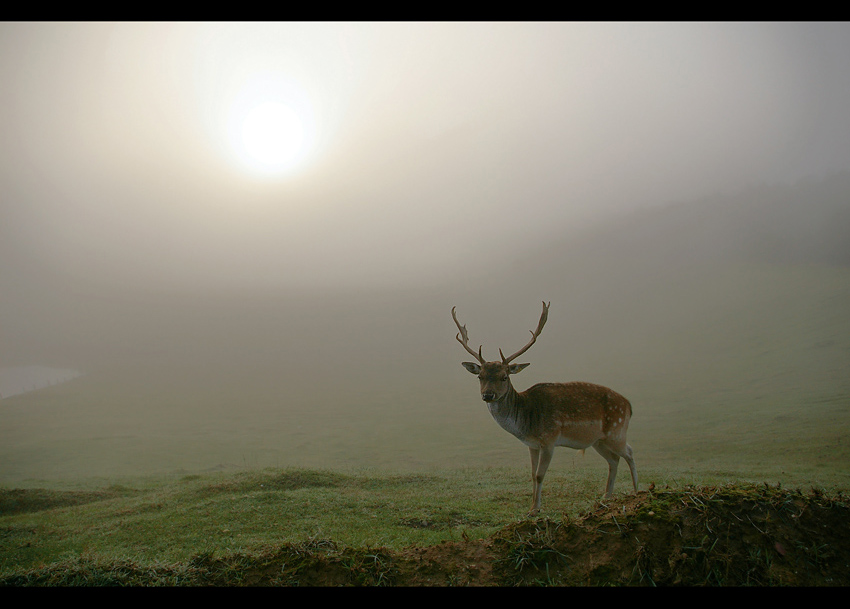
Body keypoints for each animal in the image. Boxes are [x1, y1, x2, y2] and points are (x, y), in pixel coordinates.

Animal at [450, 300, 636, 512]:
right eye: (480, 377)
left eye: (504, 377)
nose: (488, 395)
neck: (526, 423)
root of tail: (629, 405)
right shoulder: (532, 445)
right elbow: (532, 475)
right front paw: (532, 506)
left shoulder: (549, 439)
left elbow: (540, 475)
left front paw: (535, 510)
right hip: (598, 440)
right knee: (614, 460)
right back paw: (606, 497)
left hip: (616, 431)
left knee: (630, 453)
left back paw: (636, 491)